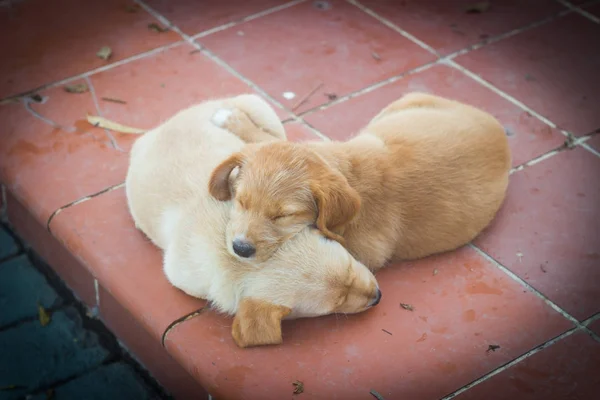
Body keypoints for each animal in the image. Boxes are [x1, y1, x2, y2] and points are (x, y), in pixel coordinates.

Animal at [126, 94, 380, 346]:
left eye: (350, 264)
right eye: (336, 304)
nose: (378, 296)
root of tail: (166, 123)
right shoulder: (182, 276)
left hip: (259, 106)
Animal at [207, 92, 510, 270]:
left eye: (284, 216)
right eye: (241, 201)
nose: (241, 248)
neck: (348, 173)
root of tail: (498, 127)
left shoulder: (365, 253)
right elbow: (269, 139)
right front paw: (234, 120)